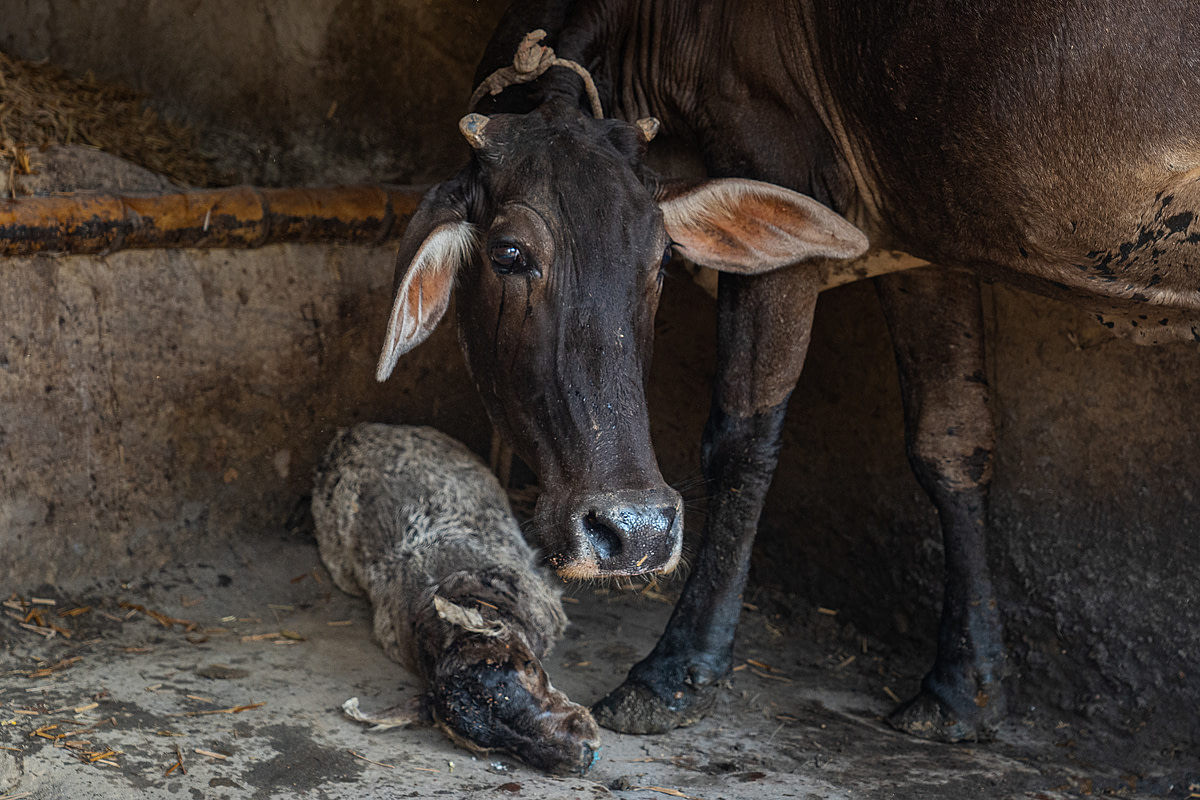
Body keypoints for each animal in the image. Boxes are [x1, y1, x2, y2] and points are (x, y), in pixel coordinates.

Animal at [374, 0, 1200, 743]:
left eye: (663, 261)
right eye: (509, 253)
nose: (633, 531)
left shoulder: (777, 161)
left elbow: (743, 439)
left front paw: (677, 672)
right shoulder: (926, 245)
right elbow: (950, 442)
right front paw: (965, 690)